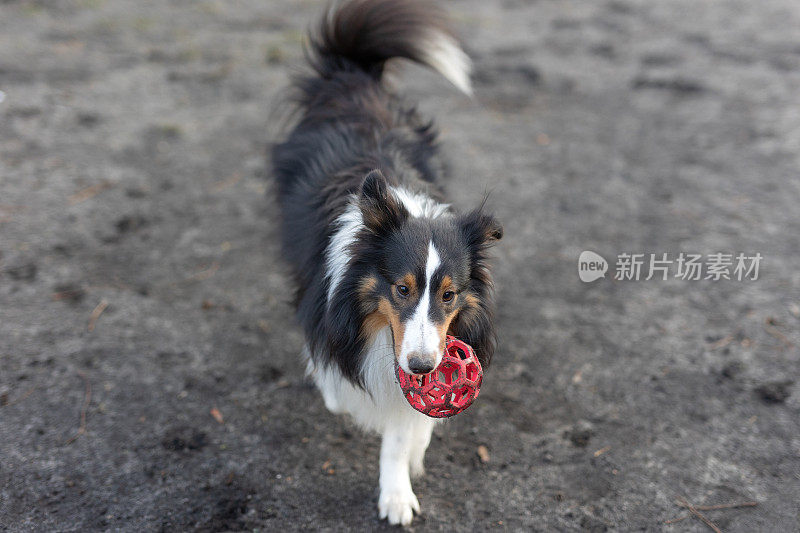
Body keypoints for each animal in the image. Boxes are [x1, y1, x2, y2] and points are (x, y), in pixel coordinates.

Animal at [272, 0, 504, 524]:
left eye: (450, 295)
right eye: (401, 289)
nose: (421, 366)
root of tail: (353, 73)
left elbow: (402, 433)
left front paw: (399, 489)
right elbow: (338, 375)